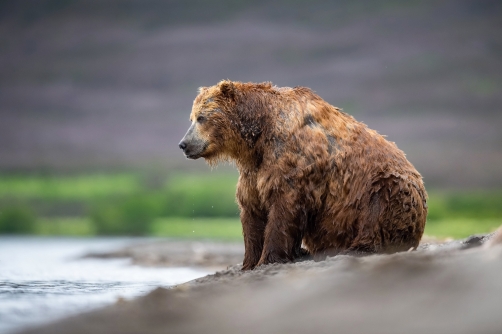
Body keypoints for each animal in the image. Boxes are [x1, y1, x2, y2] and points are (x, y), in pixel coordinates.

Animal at [179, 79, 428, 270]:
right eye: (191, 118)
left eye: (202, 117)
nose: (183, 144)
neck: (258, 136)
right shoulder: (254, 170)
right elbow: (252, 209)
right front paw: (249, 262)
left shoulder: (293, 161)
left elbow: (283, 207)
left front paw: (269, 258)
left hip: (384, 188)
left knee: (378, 208)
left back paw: (357, 247)